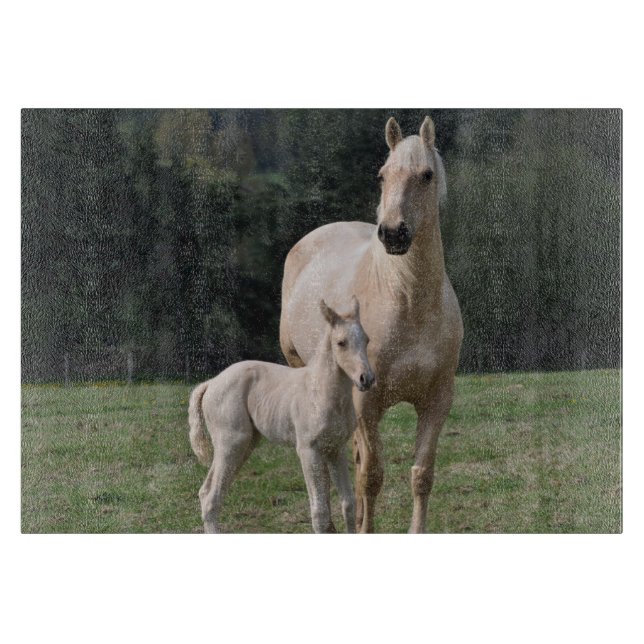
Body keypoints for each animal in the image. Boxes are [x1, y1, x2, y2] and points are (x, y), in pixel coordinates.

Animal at [189, 296, 375, 533]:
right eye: (341, 342)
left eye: (367, 340)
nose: (366, 379)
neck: (319, 392)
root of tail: (211, 383)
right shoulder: (308, 450)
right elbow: (320, 513)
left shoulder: (335, 449)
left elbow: (348, 503)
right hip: (231, 443)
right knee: (212, 497)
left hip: (244, 445)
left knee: (206, 492)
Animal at [279, 116, 463, 533]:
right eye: (382, 176)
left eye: (427, 175)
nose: (393, 233)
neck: (406, 300)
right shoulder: (367, 401)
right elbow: (372, 476)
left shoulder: (437, 401)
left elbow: (421, 475)